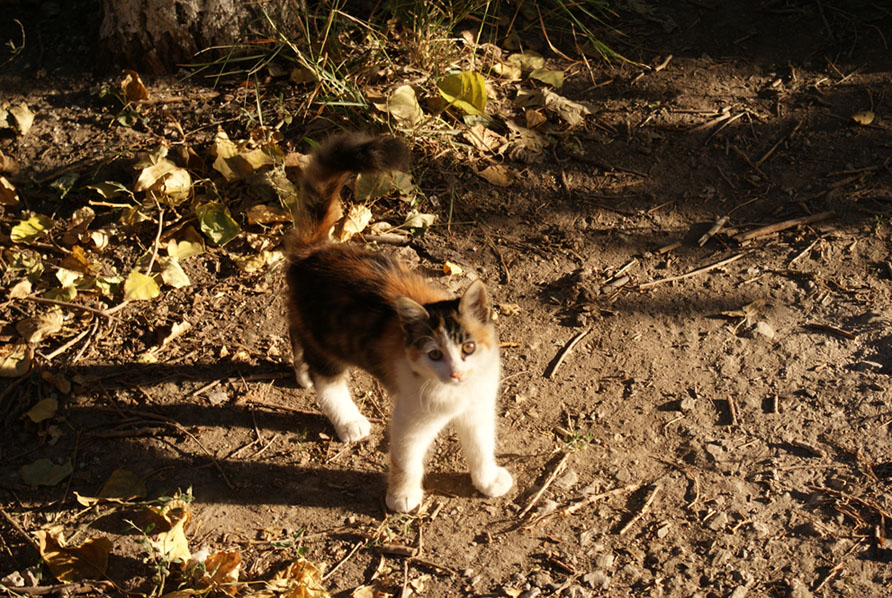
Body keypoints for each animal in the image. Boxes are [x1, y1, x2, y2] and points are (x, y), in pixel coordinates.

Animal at [282, 134, 512, 512]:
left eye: (468, 347)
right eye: (434, 354)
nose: (456, 373)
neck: (455, 394)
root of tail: (315, 250)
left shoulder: (477, 408)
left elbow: (481, 446)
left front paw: (488, 479)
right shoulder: (410, 416)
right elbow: (407, 458)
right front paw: (403, 495)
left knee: (295, 333)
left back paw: (302, 375)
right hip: (328, 338)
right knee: (328, 380)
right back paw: (348, 419)